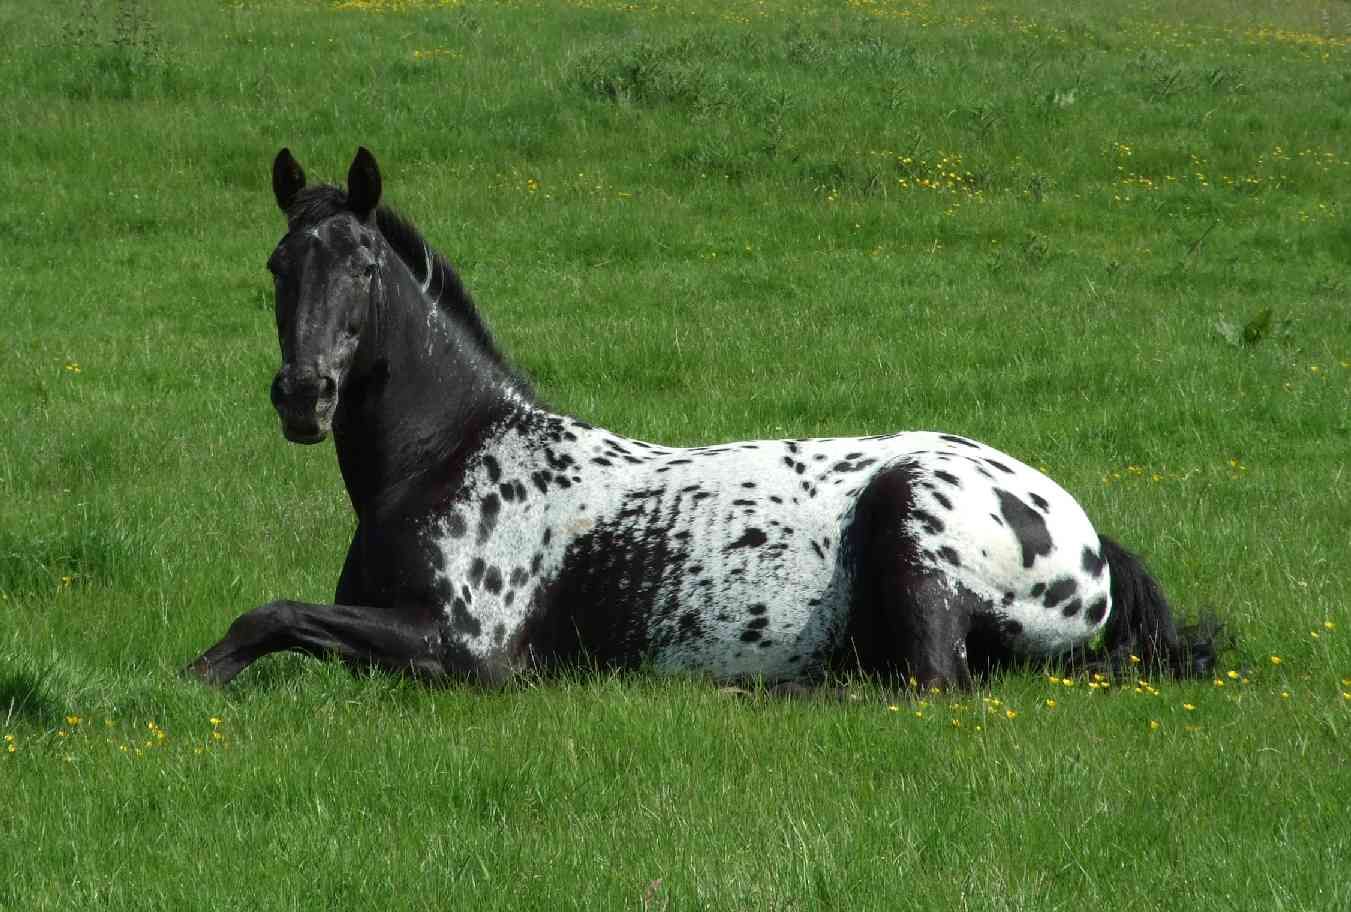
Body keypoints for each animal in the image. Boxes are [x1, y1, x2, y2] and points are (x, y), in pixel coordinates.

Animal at [182, 147, 1226, 691]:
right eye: (279, 265)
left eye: (363, 266)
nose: (303, 396)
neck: (453, 457)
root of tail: (1086, 538)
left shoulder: (466, 653)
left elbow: (270, 615)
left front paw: (197, 677)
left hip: (911, 529)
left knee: (924, 683)